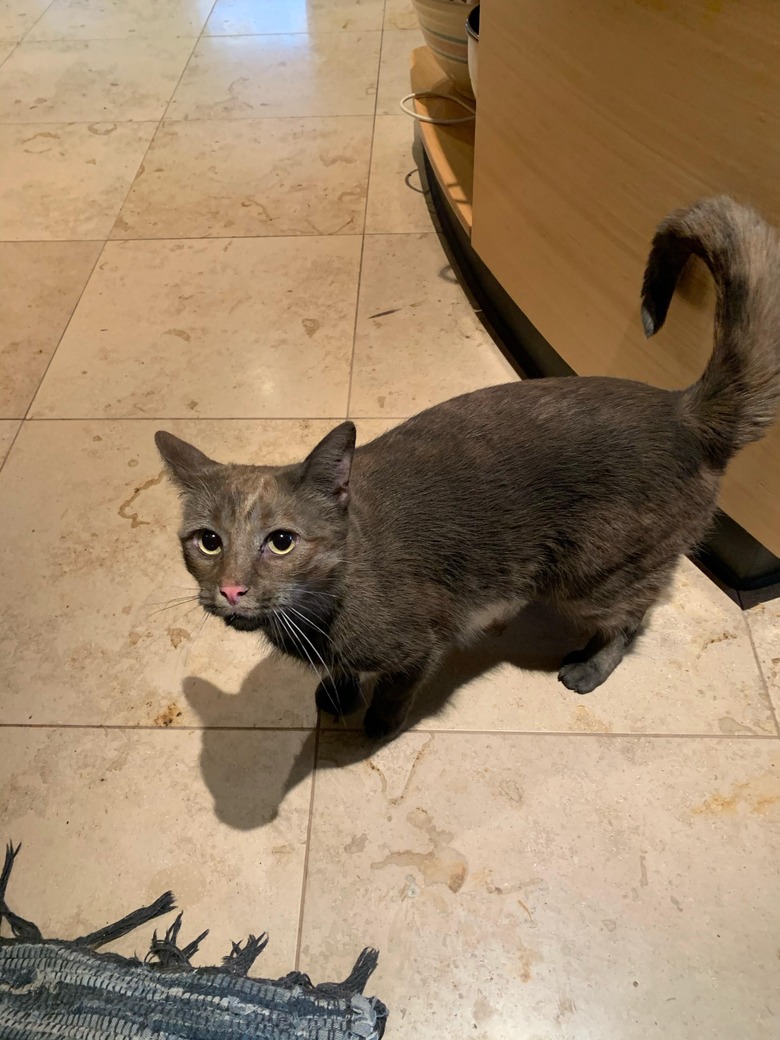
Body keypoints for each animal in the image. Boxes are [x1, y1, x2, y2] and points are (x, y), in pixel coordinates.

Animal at [157, 198, 780, 740]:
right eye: (208, 541)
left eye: (281, 541)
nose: (231, 588)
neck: (324, 608)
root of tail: (681, 410)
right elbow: (342, 670)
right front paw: (336, 693)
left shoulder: (419, 645)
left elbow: (394, 688)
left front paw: (377, 726)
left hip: (595, 574)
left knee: (633, 617)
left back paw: (588, 667)